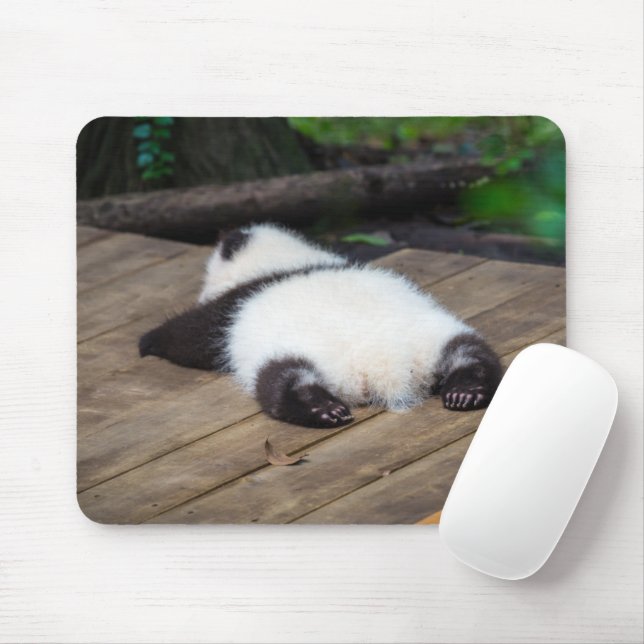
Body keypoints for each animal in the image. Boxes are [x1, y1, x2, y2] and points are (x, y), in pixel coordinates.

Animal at [139, 223, 502, 428]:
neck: (285, 261)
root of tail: (383, 366)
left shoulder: (232, 307)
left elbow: (191, 336)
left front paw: (148, 341)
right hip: (433, 336)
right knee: (471, 352)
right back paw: (466, 391)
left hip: (289, 353)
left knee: (281, 379)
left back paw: (321, 409)